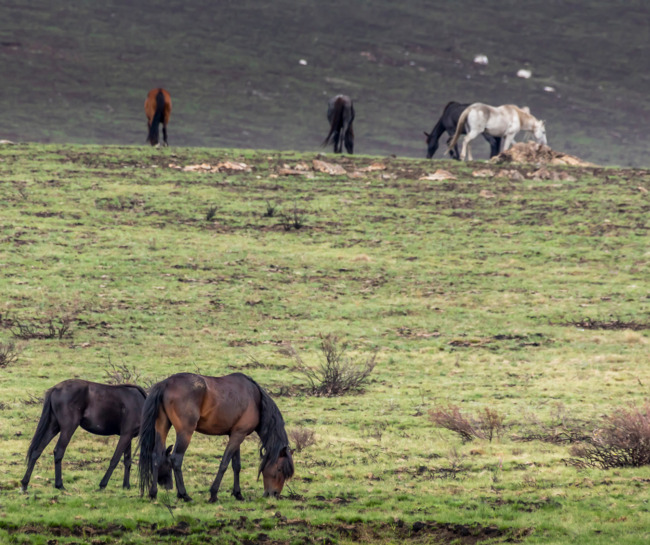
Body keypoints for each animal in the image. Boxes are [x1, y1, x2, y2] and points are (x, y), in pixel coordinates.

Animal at [138, 372, 294, 503]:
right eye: (280, 469)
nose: (274, 494)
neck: (256, 399)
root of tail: (165, 383)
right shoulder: (238, 435)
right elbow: (224, 463)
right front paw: (213, 494)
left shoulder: (236, 434)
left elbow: (236, 465)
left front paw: (238, 494)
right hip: (185, 432)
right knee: (176, 458)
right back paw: (184, 495)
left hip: (162, 427)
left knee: (156, 456)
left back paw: (153, 493)